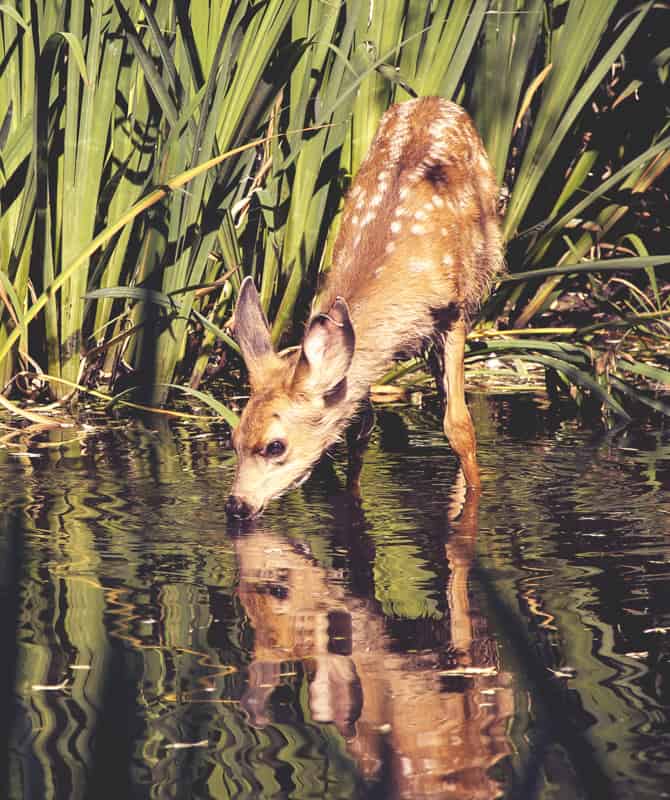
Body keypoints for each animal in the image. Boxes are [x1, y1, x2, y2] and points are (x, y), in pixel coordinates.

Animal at [226, 95, 504, 520]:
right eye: (234, 437)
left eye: (275, 446)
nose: (236, 505)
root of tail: (434, 99)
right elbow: (361, 429)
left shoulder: (454, 311)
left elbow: (459, 426)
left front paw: (473, 498)